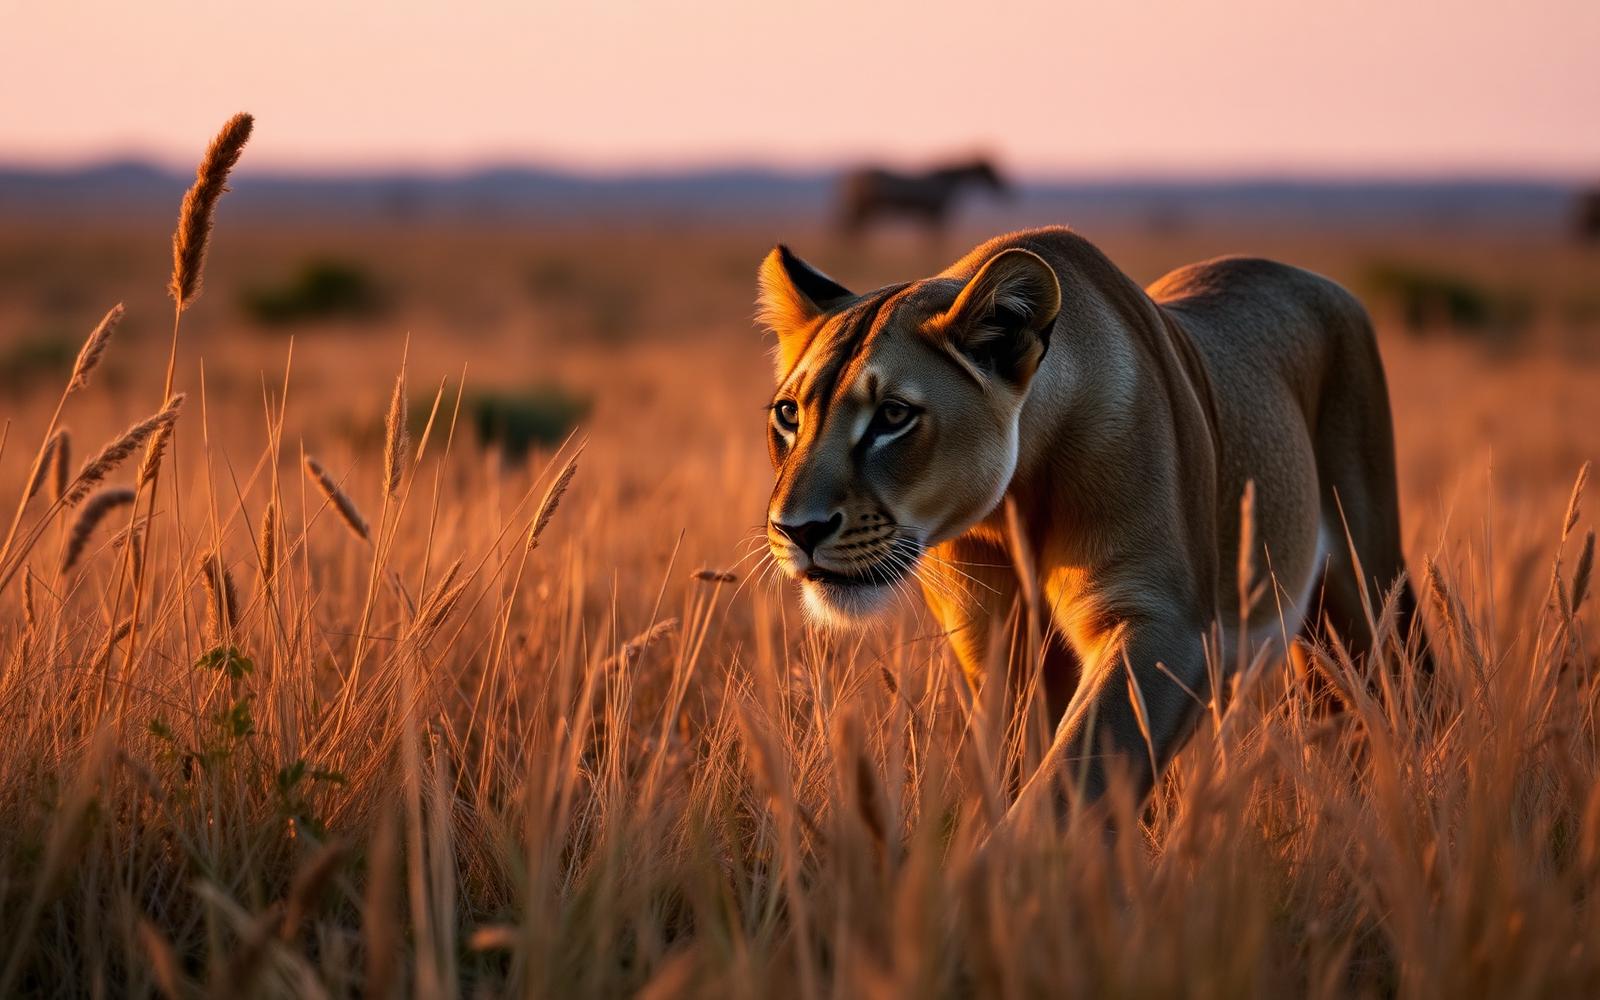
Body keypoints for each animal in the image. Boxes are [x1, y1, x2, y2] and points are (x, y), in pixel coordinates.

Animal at [756, 226, 1426, 808]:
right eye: (789, 414)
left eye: (893, 416)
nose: (797, 530)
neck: (1012, 502)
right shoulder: (993, 645)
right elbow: (1018, 768)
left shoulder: (1166, 624)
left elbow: (1072, 780)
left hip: (1367, 592)